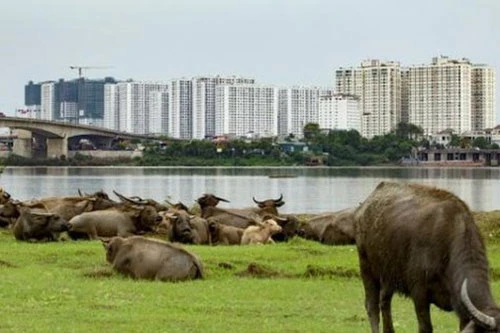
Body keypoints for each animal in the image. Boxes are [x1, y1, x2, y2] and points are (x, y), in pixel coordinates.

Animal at [354, 182, 500, 332]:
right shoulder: (419, 293)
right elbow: (425, 327)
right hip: (366, 267)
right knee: (372, 306)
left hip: (389, 274)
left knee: (384, 301)